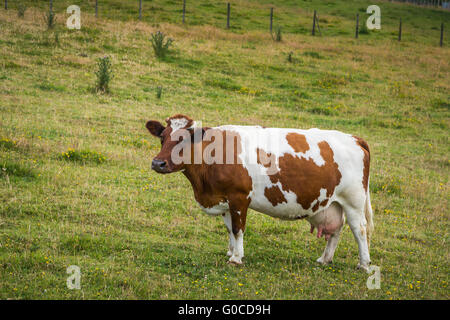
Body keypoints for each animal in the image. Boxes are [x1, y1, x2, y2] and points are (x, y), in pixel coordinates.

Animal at [146, 114, 374, 272]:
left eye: (184, 140)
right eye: (162, 138)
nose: (158, 163)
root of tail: (354, 137)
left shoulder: (239, 197)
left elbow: (237, 229)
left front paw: (236, 258)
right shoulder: (225, 200)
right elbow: (229, 229)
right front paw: (231, 251)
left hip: (353, 200)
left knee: (360, 229)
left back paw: (364, 264)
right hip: (333, 202)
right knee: (336, 229)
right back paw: (324, 259)